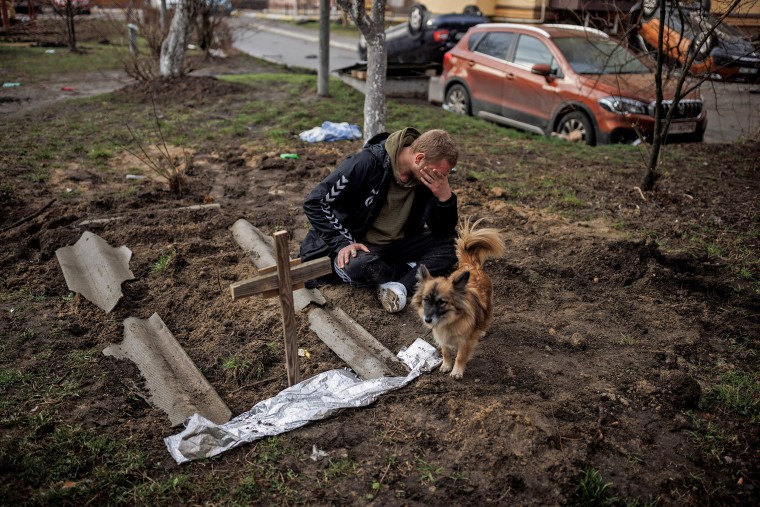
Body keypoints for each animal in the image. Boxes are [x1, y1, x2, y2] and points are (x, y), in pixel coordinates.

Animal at [410, 218, 504, 380]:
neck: (449, 321)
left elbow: (460, 357)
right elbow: (446, 353)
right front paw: (446, 366)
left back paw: (482, 330)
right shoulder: (442, 339)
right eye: (425, 300)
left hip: (488, 306)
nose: (427, 320)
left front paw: (456, 372)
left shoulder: (466, 342)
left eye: (441, 302)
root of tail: (471, 266)